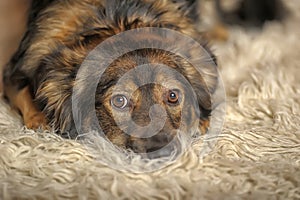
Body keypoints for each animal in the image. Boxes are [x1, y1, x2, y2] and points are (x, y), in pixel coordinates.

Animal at [2, 0, 218, 155]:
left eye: (173, 96)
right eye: (119, 101)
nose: (164, 153)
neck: (117, 21)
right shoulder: (13, 73)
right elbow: (25, 93)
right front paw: (41, 123)